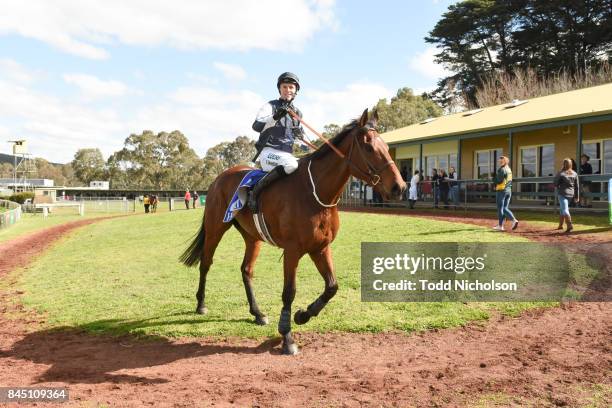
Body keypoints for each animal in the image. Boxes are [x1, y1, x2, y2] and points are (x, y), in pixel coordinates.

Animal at [180, 108, 406, 354]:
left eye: (386, 146)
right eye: (368, 147)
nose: (400, 187)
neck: (314, 192)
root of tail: (219, 178)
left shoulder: (320, 248)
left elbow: (332, 287)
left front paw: (303, 315)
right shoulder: (292, 251)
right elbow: (289, 292)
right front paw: (287, 337)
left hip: (252, 236)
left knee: (246, 270)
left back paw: (257, 313)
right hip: (215, 228)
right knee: (206, 263)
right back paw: (201, 304)